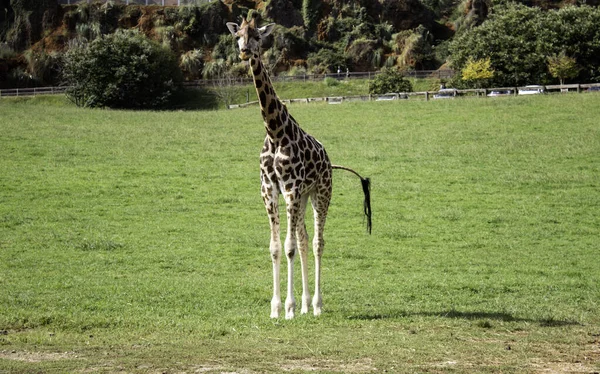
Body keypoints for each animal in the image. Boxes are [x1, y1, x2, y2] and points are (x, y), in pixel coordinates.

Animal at [229, 19, 372, 320]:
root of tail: (329, 160)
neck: (274, 132)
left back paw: (316, 305)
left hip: (321, 192)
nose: (245, 51)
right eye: (237, 36)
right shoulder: (270, 190)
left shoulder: (292, 190)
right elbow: (276, 247)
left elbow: (289, 247)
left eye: (257, 35)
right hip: (304, 197)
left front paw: (290, 308)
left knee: (318, 242)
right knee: (305, 239)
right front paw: (276, 308)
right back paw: (307, 304)